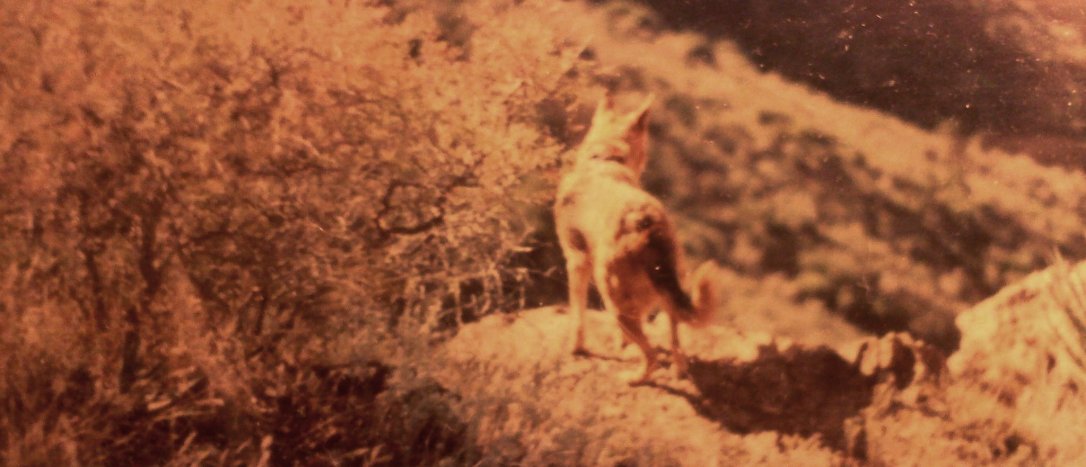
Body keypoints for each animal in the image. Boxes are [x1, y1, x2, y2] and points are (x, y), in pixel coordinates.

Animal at [554, 94, 720, 385]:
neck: (605, 160)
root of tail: (647, 225)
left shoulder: (576, 261)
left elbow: (578, 317)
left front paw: (577, 348)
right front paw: (622, 345)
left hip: (613, 300)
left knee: (651, 354)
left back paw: (635, 377)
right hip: (664, 294)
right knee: (675, 338)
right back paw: (678, 371)